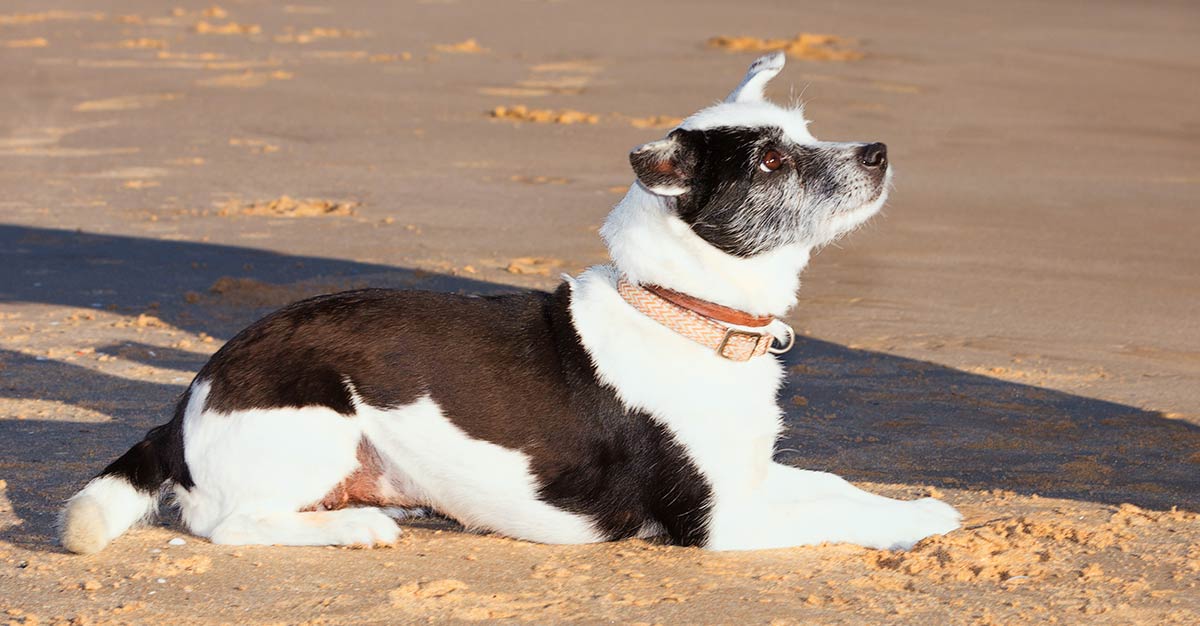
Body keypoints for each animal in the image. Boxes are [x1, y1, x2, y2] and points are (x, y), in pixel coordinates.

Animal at [63, 52, 964, 551]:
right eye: (772, 161)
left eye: (804, 132)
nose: (880, 152)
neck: (680, 310)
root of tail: (191, 398)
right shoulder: (721, 522)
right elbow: (842, 517)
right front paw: (918, 525)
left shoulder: (749, 476)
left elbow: (840, 488)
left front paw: (918, 502)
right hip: (315, 425)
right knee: (229, 525)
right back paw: (357, 528)